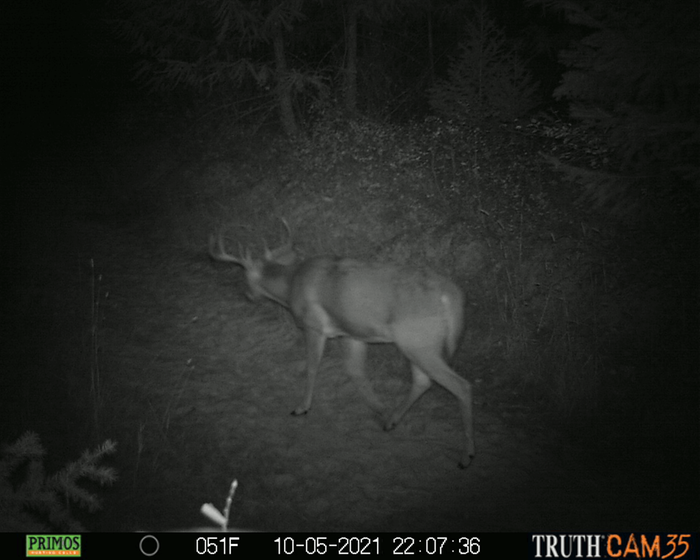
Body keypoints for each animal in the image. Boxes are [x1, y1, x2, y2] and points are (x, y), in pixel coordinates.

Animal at [208, 220, 476, 468]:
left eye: (245, 277)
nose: (247, 295)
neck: (291, 284)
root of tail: (451, 296)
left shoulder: (314, 326)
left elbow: (312, 367)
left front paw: (301, 407)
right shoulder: (352, 334)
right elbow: (355, 372)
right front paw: (380, 409)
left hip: (419, 342)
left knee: (461, 385)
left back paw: (466, 456)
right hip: (418, 344)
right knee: (423, 381)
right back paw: (392, 420)